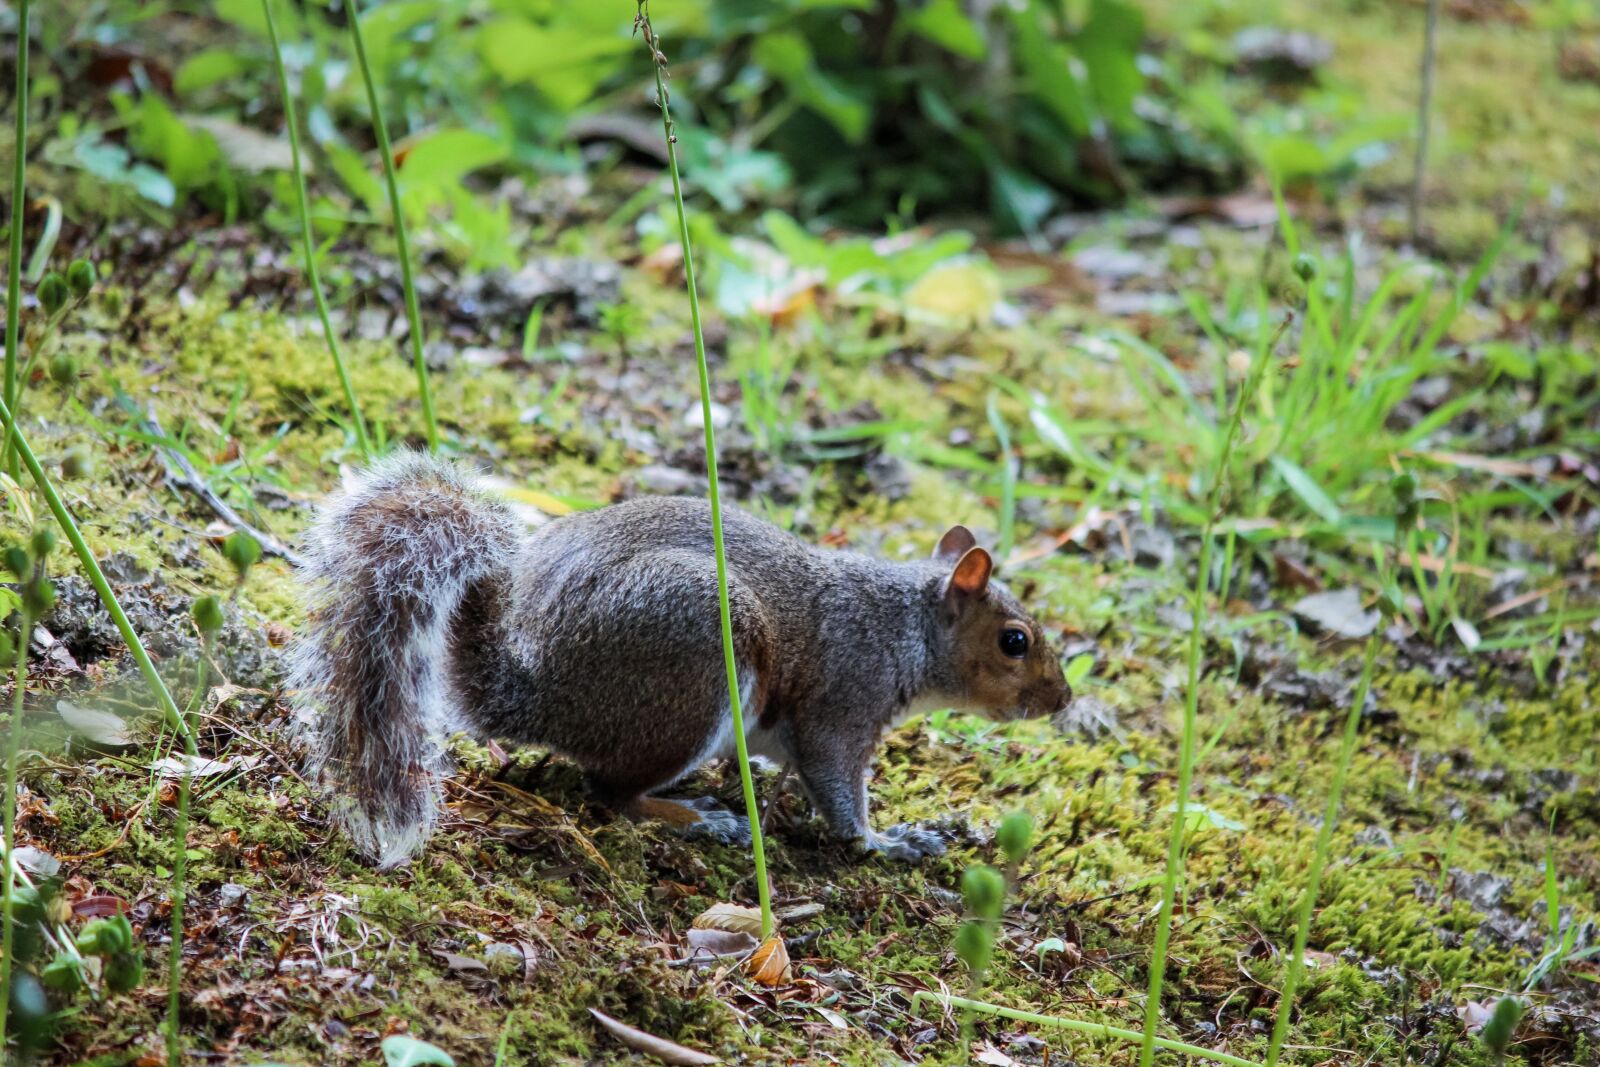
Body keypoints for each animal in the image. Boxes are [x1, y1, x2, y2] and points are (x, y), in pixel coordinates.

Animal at [290, 452, 1071, 868]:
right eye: (1015, 640)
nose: (1060, 700)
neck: (903, 626)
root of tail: (533, 688)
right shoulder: (846, 699)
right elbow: (838, 784)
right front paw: (888, 840)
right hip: (697, 667)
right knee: (610, 793)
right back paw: (696, 817)